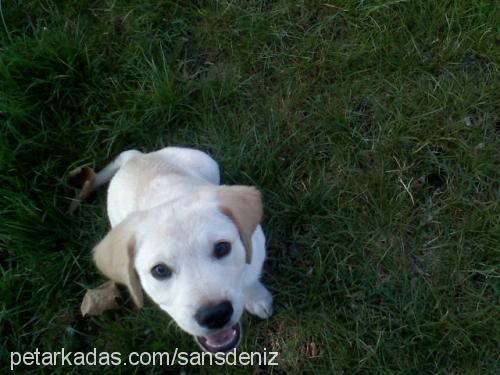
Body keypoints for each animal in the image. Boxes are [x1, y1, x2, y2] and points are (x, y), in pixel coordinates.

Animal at [90, 148, 274, 354]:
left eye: (222, 248)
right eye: (160, 270)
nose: (215, 315)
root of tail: (135, 157)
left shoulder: (256, 246)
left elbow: (250, 277)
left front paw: (258, 298)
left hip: (206, 162)